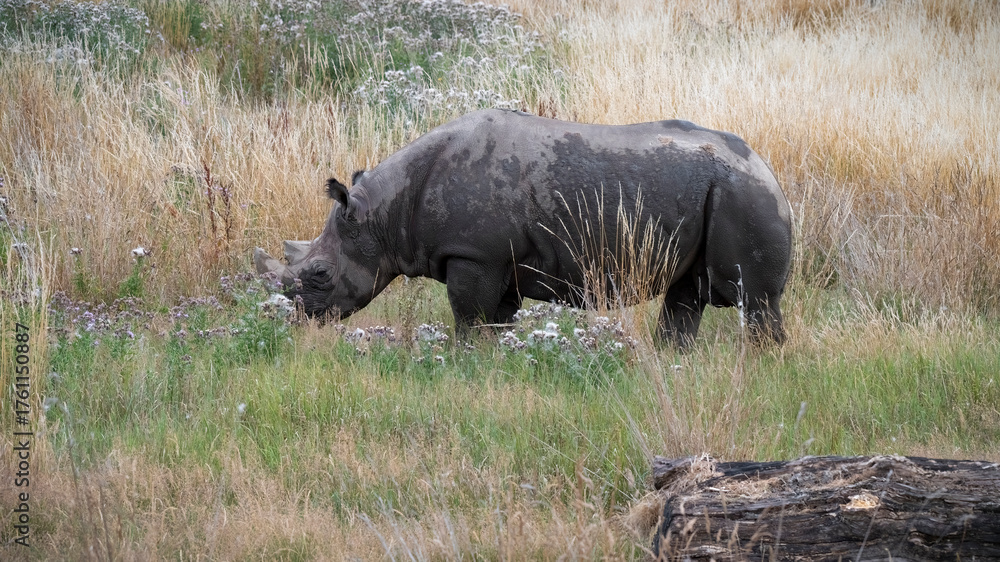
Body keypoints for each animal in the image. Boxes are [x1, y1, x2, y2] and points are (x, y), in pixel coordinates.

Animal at [255, 109, 792, 346]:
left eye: (320, 275)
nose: (297, 319)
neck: (382, 212)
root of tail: (768, 169)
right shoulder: (499, 260)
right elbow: (496, 319)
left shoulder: (473, 253)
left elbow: (468, 318)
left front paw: (464, 364)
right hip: (723, 194)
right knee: (686, 296)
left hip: (744, 196)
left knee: (755, 301)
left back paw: (762, 364)